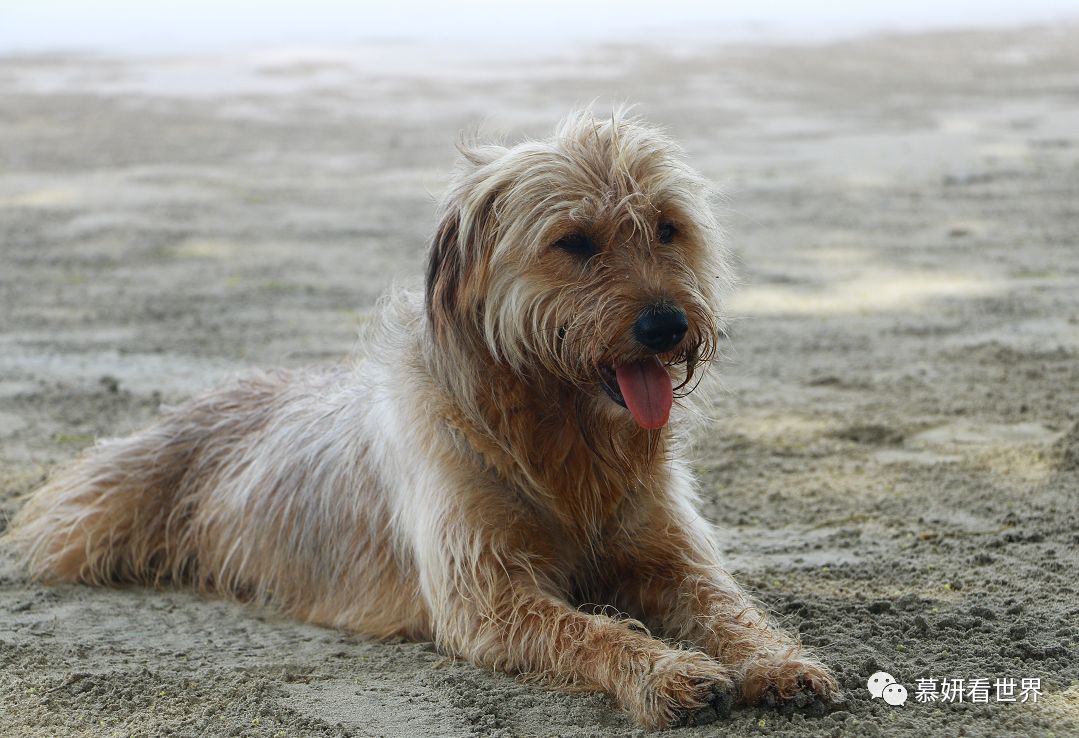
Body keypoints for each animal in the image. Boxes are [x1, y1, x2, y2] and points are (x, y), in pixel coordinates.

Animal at [4, 112, 837, 729]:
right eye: (573, 241)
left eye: (667, 227)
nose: (667, 326)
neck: (559, 439)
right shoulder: (485, 595)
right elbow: (589, 628)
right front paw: (661, 671)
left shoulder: (669, 553)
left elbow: (727, 605)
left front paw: (776, 661)